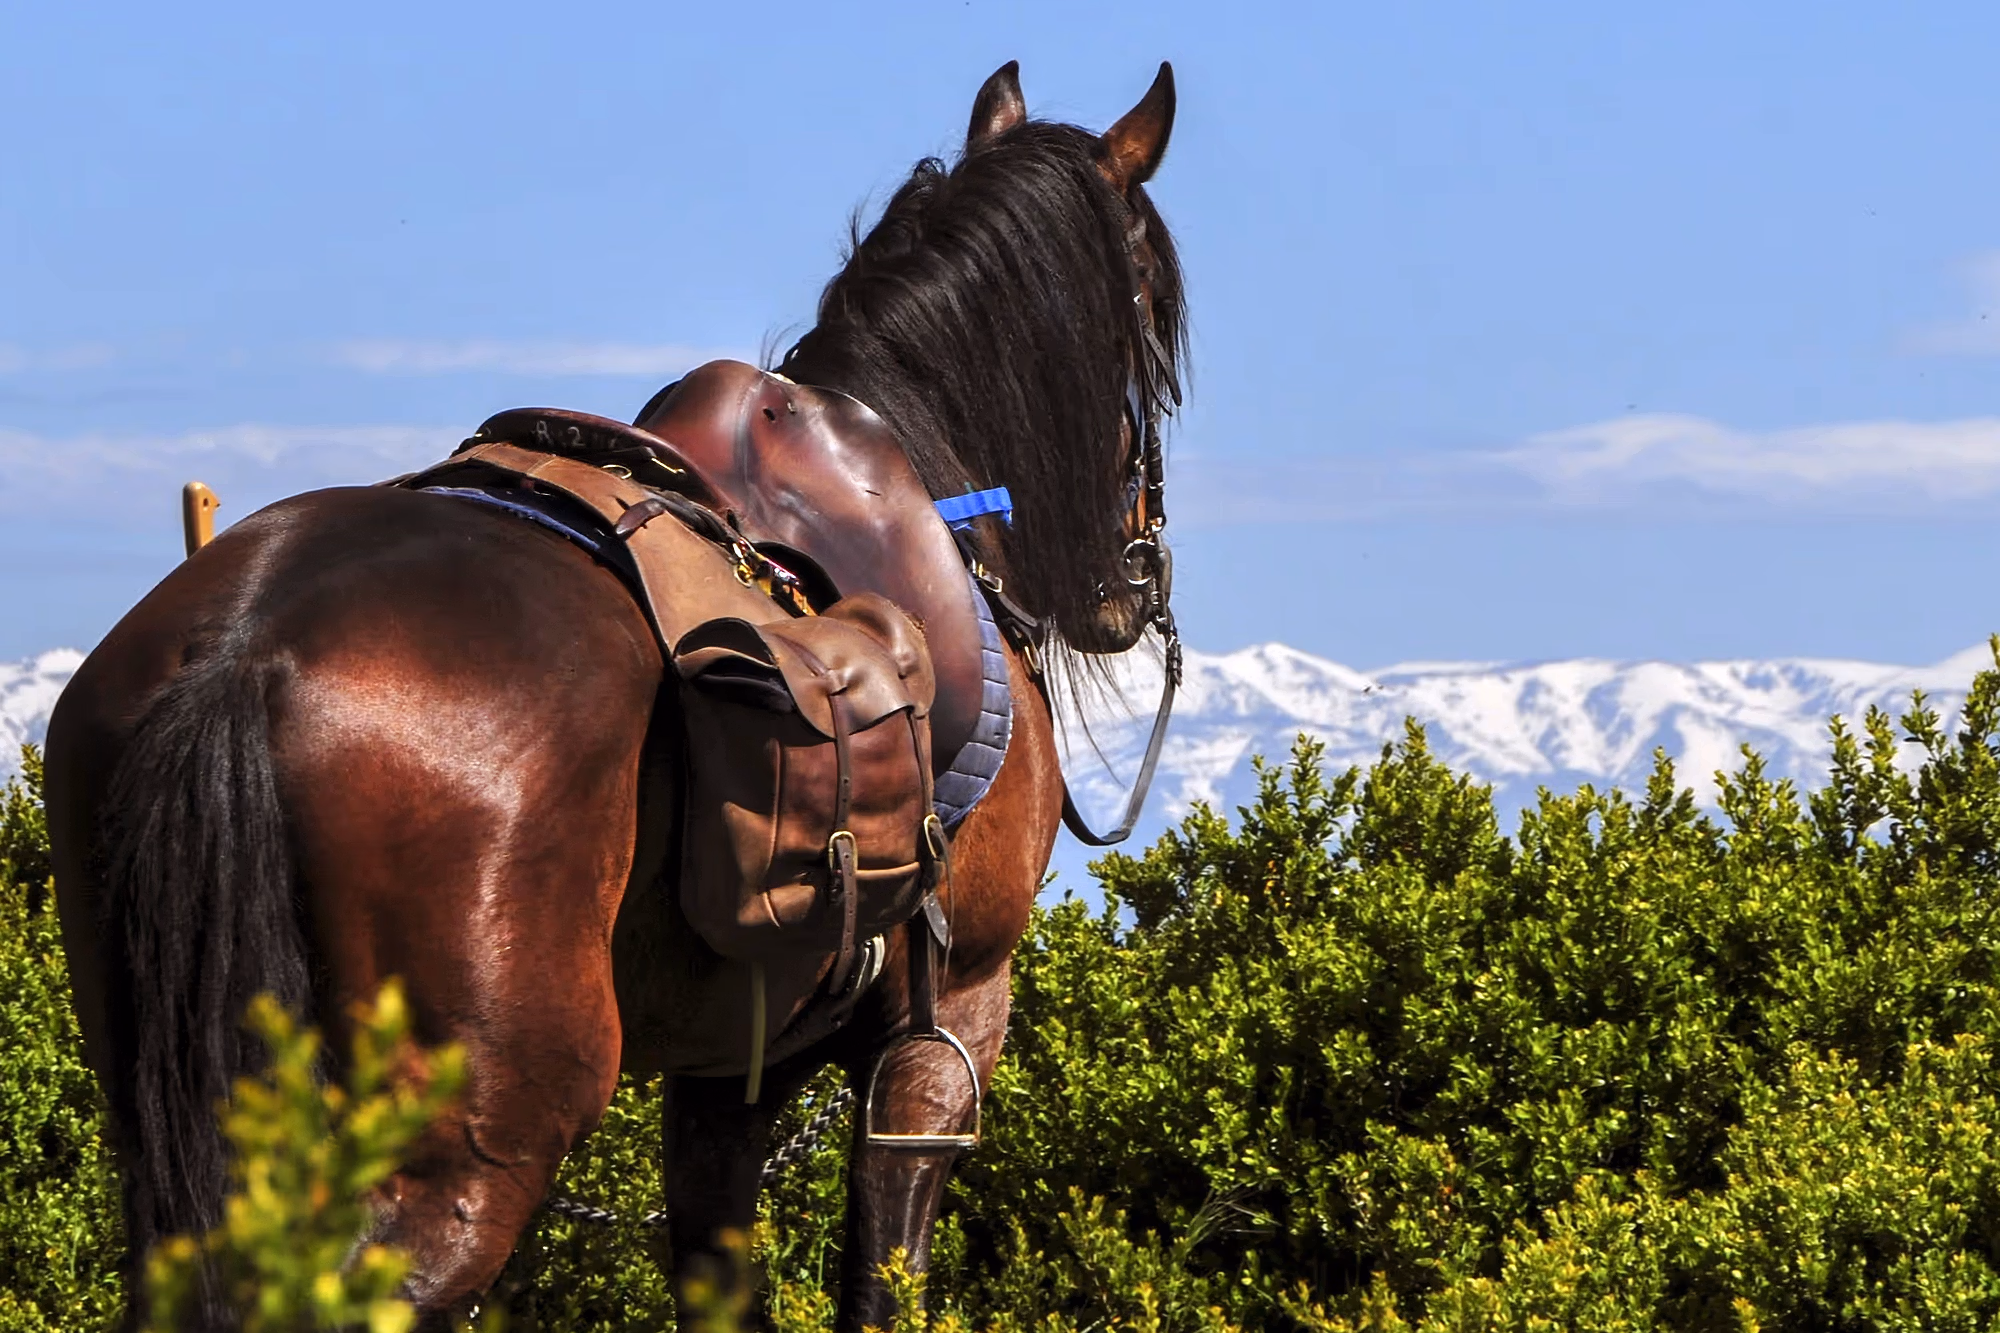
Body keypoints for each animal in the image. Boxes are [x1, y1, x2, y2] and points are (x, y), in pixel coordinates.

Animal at [45, 57, 1188, 1330]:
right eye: (1151, 306)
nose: (1136, 577)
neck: (932, 485)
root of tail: (245, 647)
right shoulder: (941, 1039)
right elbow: (881, 1282)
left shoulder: (730, 1068)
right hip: (480, 1135)